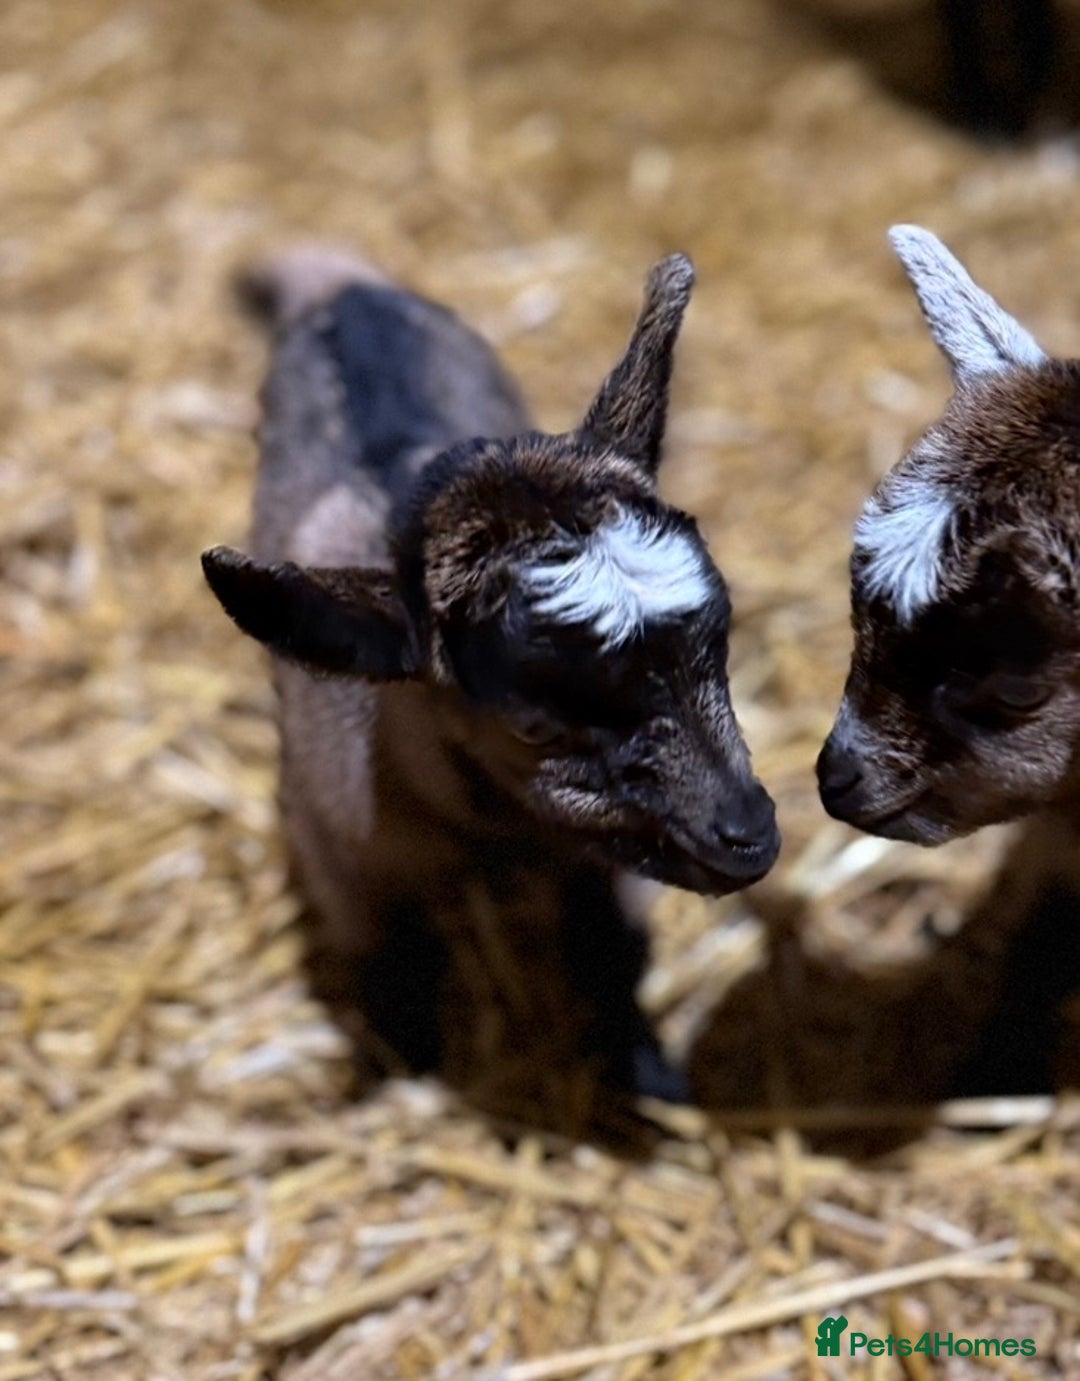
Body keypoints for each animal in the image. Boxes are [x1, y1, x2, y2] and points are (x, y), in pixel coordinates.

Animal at [202, 248, 779, 1101]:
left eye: (722, 637)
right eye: (530, 722)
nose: (748, 834)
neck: (498, 836)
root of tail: (345, 286)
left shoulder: (606, 866)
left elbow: (612, 956)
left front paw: (648, 1073)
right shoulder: (343, 862)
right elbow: (390, 968)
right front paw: (405, 1056)